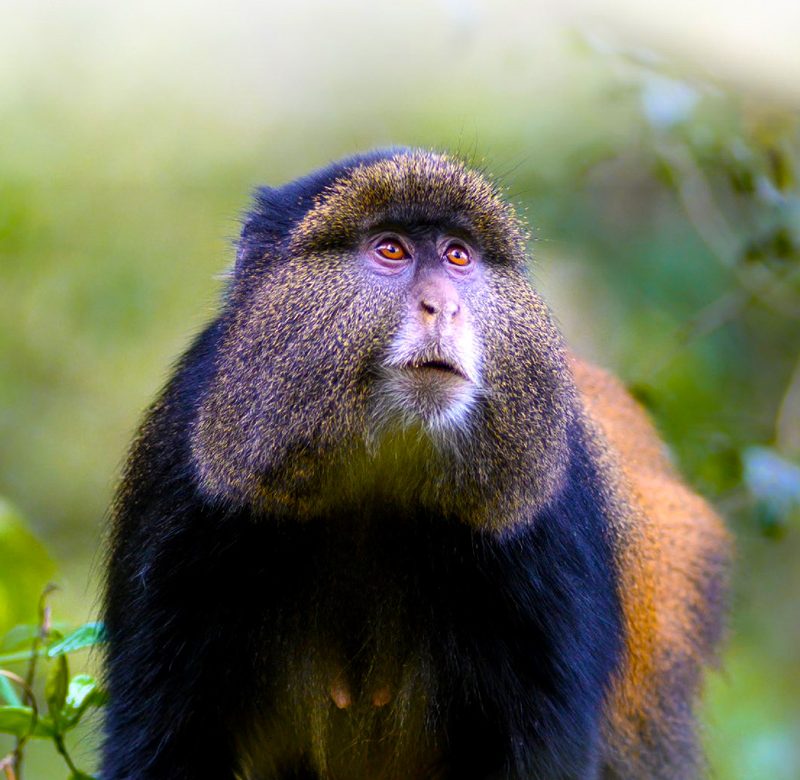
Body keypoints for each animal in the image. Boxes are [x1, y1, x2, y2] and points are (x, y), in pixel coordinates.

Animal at [101, 148, 731, 780]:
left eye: (458, 256)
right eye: (391, 250)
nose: (444, 306)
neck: (376, 481)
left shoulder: (555, 515)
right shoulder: (180, 481)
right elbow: (157, 741)